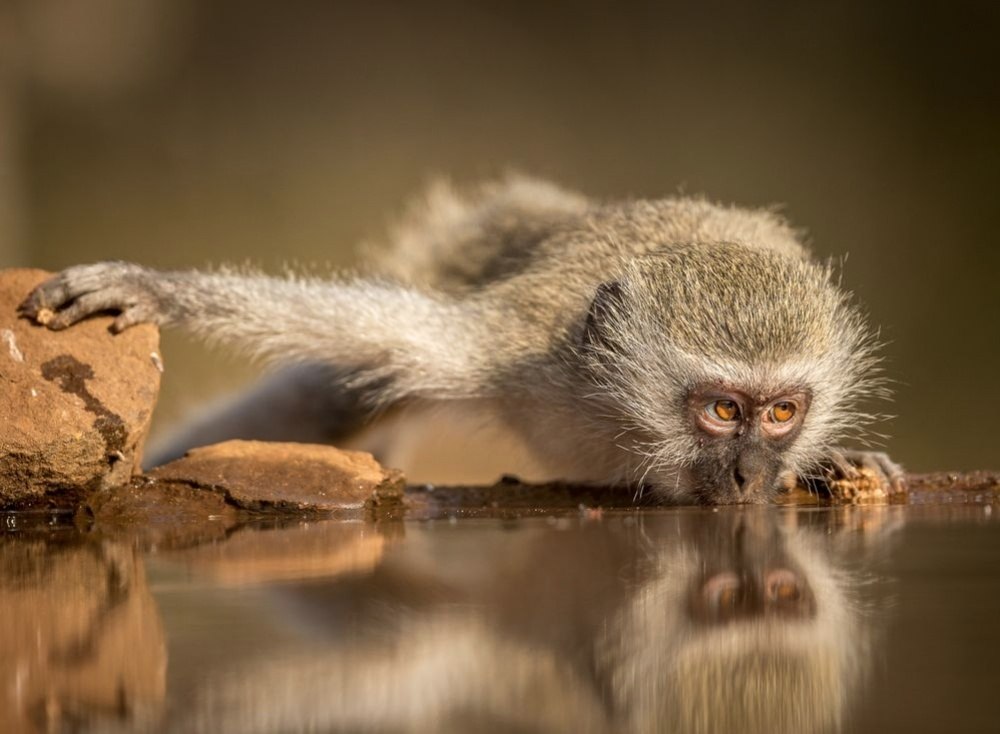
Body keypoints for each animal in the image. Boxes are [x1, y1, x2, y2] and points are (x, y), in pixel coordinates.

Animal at [17, 175, 908, 504]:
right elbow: (345, 327)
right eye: (724, 411)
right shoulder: (513, 350)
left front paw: (834, 460)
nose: (754, 474)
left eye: (782, 412)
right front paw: (156, 286)